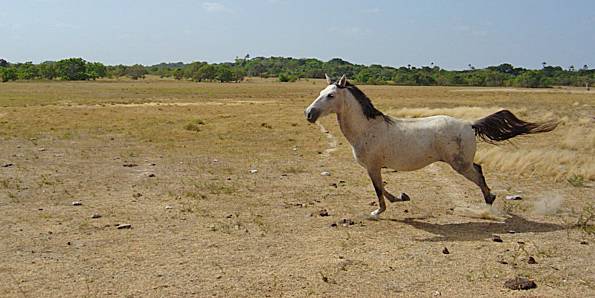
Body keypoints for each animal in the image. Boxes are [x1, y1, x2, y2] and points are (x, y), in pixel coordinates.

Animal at [304, 74, 560, 219]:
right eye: (320, 92)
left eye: (331, 95)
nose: (309, 114)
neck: (368, 128)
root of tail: (469, 124)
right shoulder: (374, 168)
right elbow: (383, 189)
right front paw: (402, 197)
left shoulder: (373, 166)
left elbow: (378, 190)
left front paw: (377, 212)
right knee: (479, 169)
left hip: (460, 164)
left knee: (478, 172)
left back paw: (489, 199)